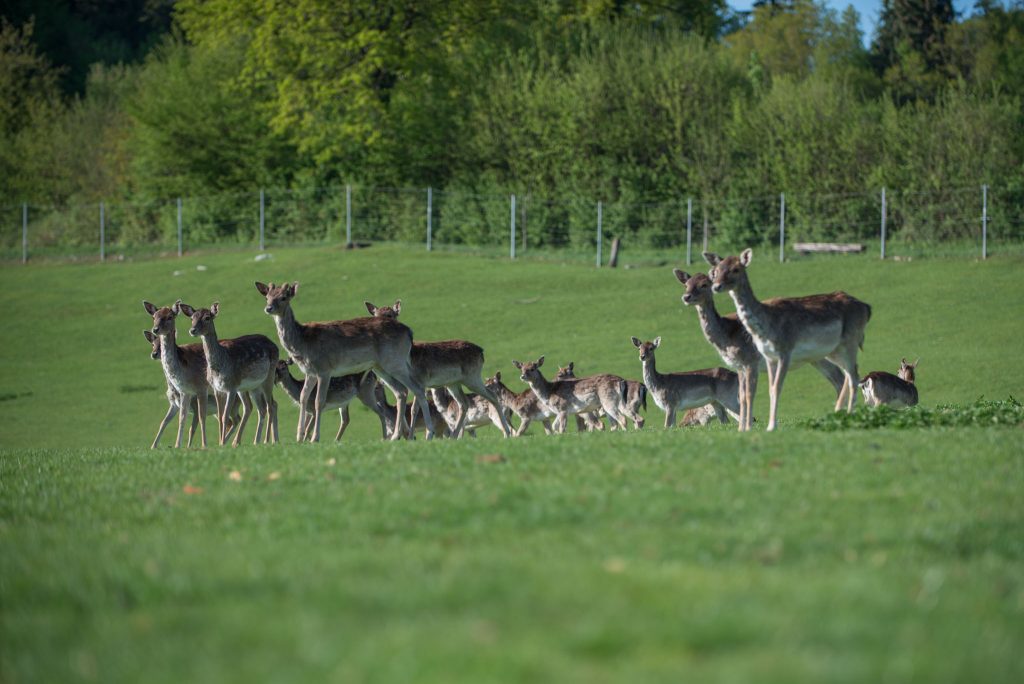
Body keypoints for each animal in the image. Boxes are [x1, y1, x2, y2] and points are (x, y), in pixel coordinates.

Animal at [178, 302, 280, 446]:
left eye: (207, 317)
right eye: (192, 318)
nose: (193, 330)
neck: (219, 366)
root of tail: (275, 345)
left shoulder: (231, 387)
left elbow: (225, 416)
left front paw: (222, 442)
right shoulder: (217, 389)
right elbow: (220, 415)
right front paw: (221, 442)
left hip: (268, 376)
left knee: (270, 405)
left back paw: (266, 441)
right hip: (250, 387)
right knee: (257, 408)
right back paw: (252, 441)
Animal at [256, 282, 436, 442]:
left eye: (284, 297)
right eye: (267, 297)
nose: (268, 308)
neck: (303, 343)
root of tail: (409, 332)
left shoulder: (324, 369)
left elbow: (318, 401)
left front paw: (314, 438)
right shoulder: (310, 372)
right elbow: (303, 397)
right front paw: (299, 437)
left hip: (395, 361)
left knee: (418, 389)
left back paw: (429, 433)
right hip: (380, 366)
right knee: (401, 391)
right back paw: (395, 436)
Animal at [364, 300, 511, 439]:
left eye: (390, 315)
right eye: (375, 316)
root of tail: (481, 351)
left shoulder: (421, 381)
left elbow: (414, 409)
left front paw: (414, 437)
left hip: (472, 377)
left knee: (492, 396)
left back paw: (507, 432)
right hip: (454, 383)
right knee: (463, 403)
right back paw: (454, 436)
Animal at [674, 269, 847, 431]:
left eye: (704, 284)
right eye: (686, 284)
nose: (686, 297)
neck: (727, 334)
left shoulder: (751, 360)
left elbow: (748, 395)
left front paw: (748, 427)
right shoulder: (740, 366)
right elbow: (742, 396)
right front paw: (743, 428)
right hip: (817, 357)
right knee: (838, 379)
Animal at [704, 249, 872, 430]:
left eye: (736, 269)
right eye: (716, 271)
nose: (716, 286)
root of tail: (867, 307)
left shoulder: (785, 351)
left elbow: (776, 388)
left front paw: (771, 426)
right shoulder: (768, 357)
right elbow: (770, 389)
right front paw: (763, 426)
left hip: (851, 340)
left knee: (854, 375)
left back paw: (849, 415)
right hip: (833, 351)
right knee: (847, 374)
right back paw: (839, 413)